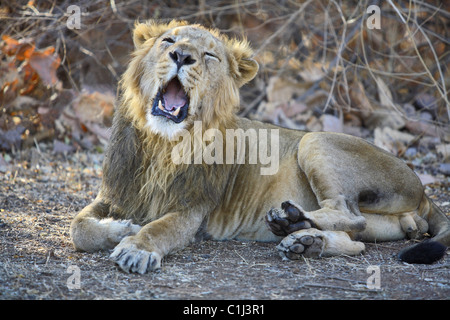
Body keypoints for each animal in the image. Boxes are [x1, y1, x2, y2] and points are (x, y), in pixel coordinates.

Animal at [70, 20, 450, 274]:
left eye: (209, 55)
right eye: (168, 40)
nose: (181, 55)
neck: (161, 144)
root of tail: (422, 190)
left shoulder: (192, 208)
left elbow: (158, 228)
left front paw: (136, 247)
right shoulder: (114, 194)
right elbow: (79, 228)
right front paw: (121, 229)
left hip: (313, 139)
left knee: (348, 214)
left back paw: (291, 219)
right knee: (355, 240)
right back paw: (303, 241)